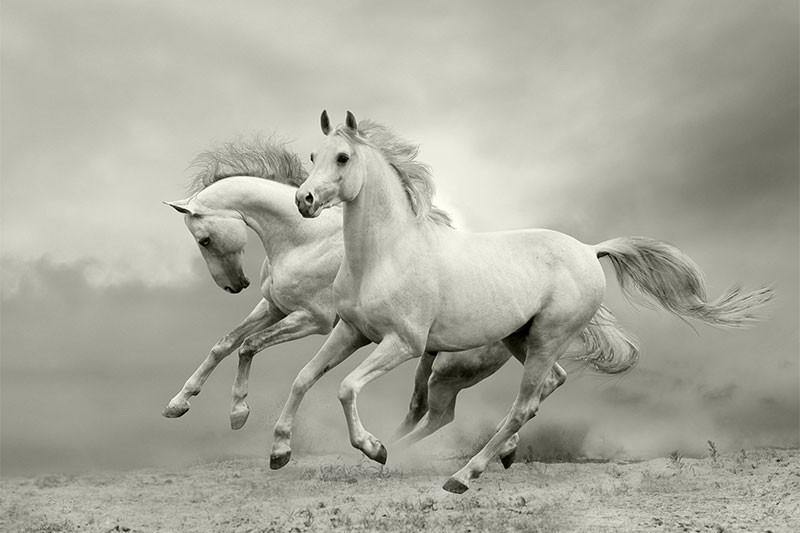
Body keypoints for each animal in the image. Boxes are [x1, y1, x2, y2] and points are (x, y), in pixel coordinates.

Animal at [161, 138, 637, 467]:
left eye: (204, 239)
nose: (235, 285)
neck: (304, 238)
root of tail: (585, 253)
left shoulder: (313, 320)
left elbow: (249, 346)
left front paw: (239, 413)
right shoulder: (275, 308)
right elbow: (225, 344)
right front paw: (180, 404)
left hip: (453, 368)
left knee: (456, 409)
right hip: (492, 350)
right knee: (525, 389)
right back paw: (498, 451)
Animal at [293, 110, 773, 493]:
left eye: (343, 158)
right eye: (313, 157)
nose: (304, 199)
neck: (386, 253)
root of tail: (590, 250)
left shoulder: (403, 343)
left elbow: (345, 386)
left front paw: (372, 447)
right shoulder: (352, 331)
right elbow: (304, 378)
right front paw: (282, 450)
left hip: (544, 338)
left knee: (520, 405)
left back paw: (463, 475)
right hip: (520, 339)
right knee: (546, 385)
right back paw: (473, 454)